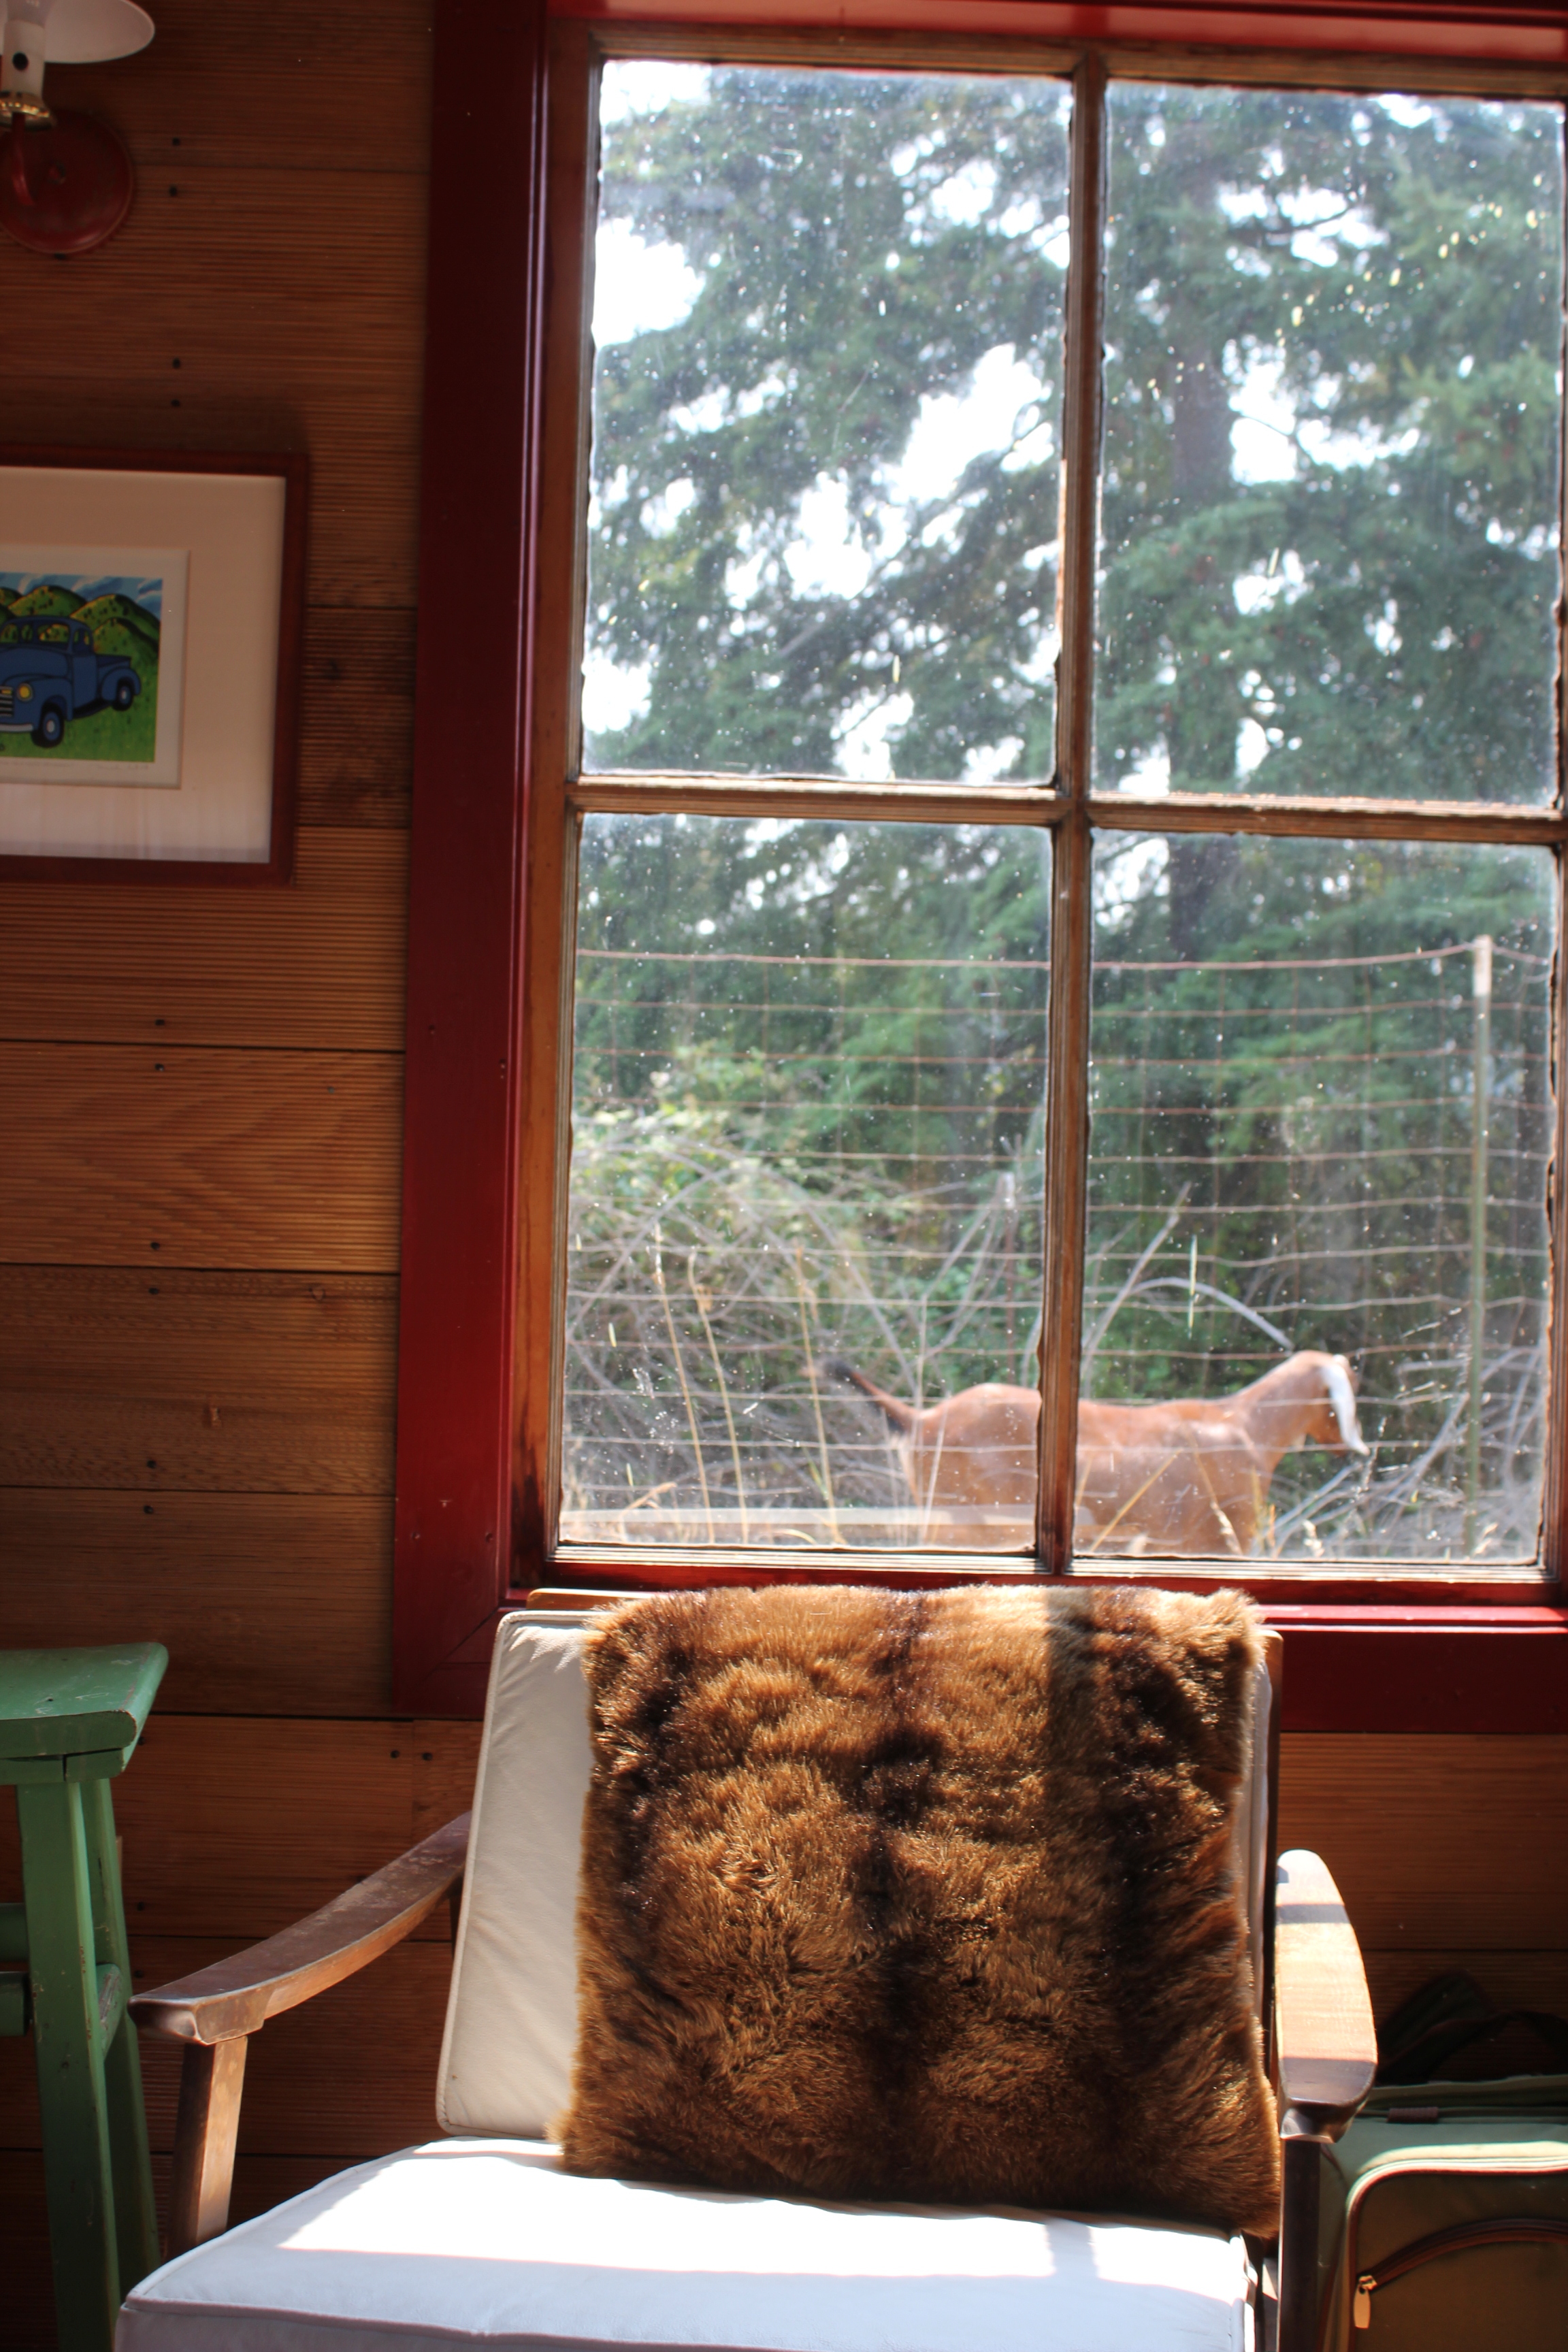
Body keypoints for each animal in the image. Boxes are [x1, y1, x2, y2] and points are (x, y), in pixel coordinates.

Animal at [827, 1345, 1363, 1561]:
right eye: (1344, 1393)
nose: (1356, 1451)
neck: (1247, 1423)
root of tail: (925, 1420)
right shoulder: (1224, 1536)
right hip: (967, 1519)